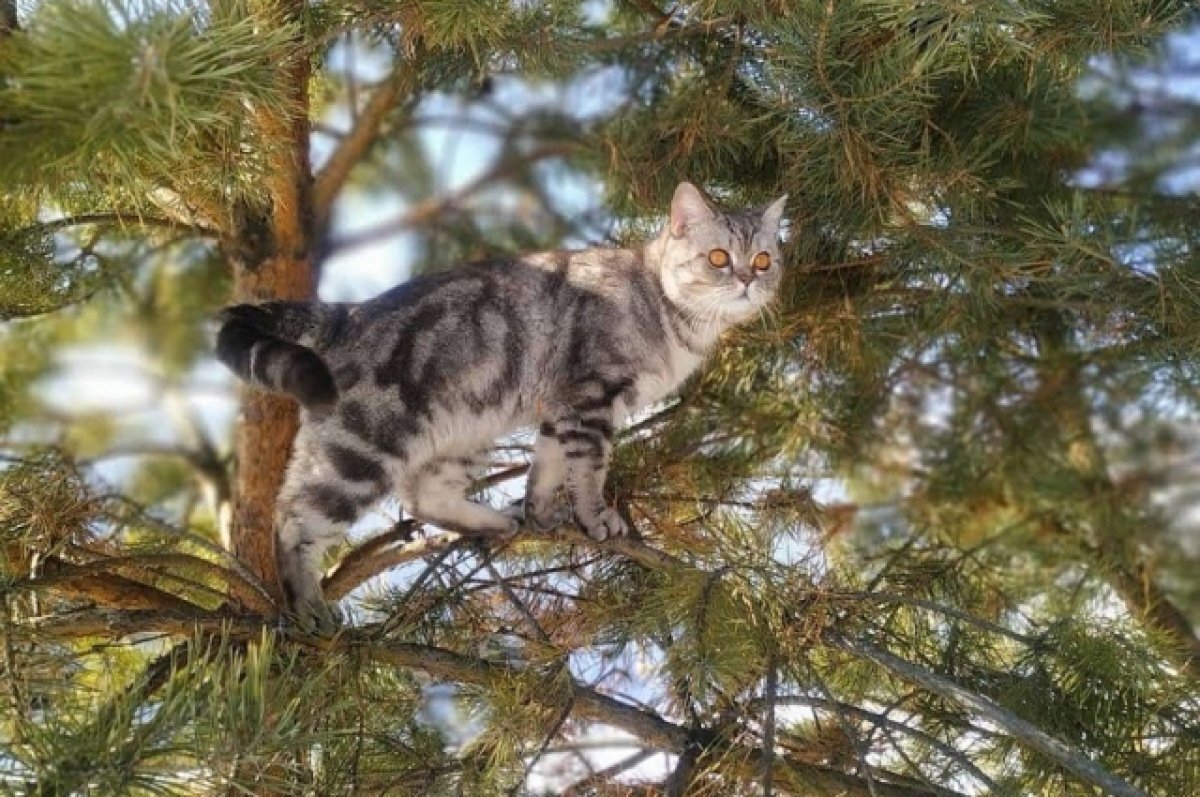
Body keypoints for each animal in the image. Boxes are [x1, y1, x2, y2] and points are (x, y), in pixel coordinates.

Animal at [216, 182, 787, 624]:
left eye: (763, 259)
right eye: (719, 258)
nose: (746, 278)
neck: (673, 320)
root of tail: (349, 313)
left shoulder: (559, 410)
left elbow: (547, 468)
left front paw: (540, 512)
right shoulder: (590, 399)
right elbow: (590, 470)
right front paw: (596, 517)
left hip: (464, 431)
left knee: (423, 497)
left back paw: (493, 521)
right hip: (361, 452)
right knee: (292, 519)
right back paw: (307, 605)